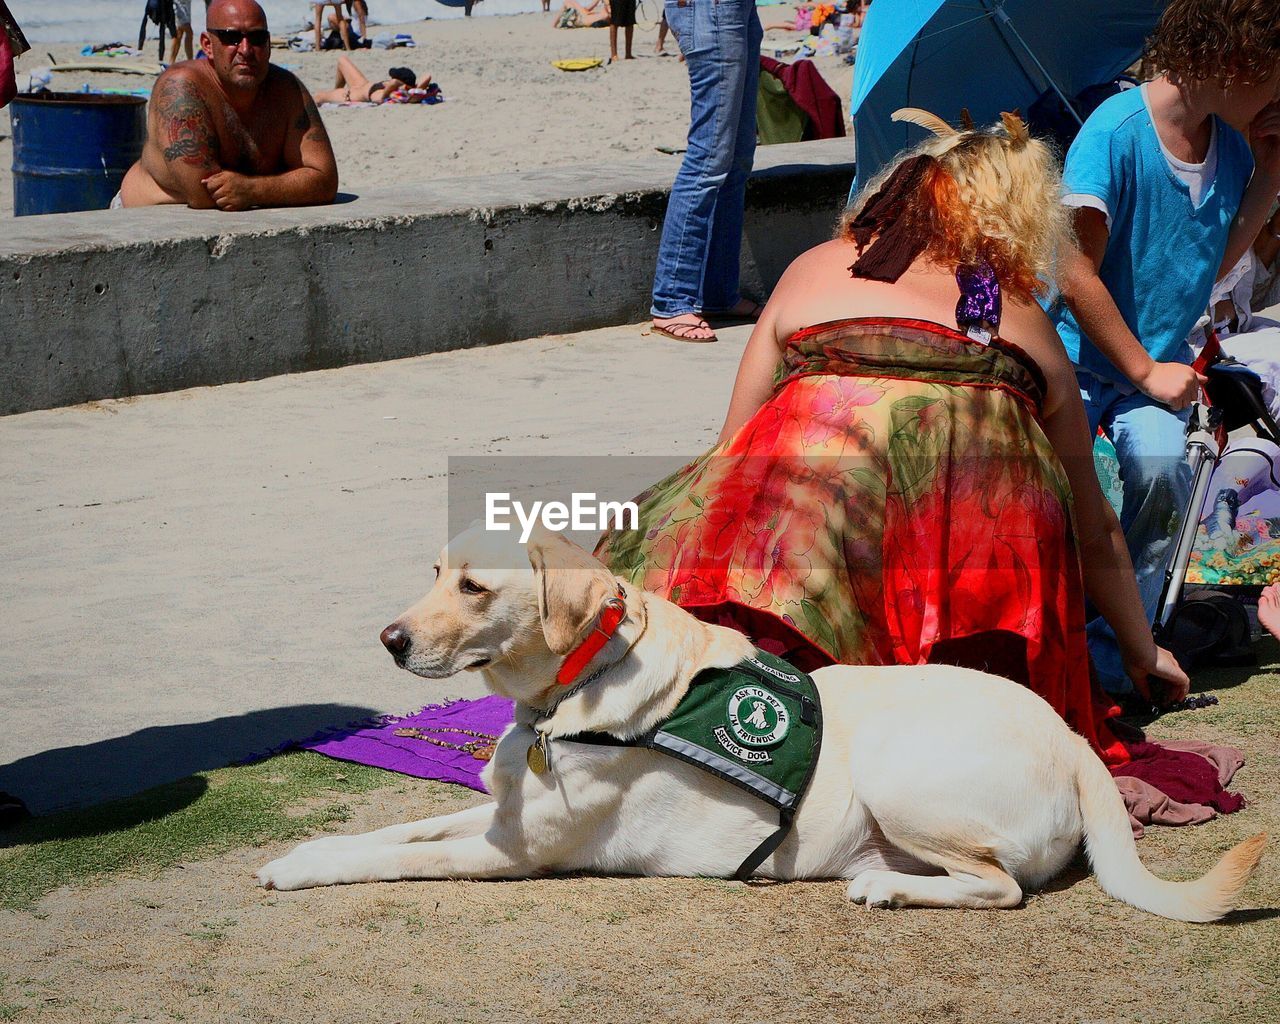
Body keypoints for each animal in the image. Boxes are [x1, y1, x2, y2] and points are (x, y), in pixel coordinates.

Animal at [254, 527, 1264, 921]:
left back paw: (888, 890)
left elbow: (387, 857)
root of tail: (1075, 737)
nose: (387, 640)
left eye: (473, 588)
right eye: (433, 573)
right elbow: (393, 830)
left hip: (900, 774)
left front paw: (305, 872)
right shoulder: (493, 813)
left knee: (1003, 886)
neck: (571, 689)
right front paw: (298, 853)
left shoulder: (515, 851)